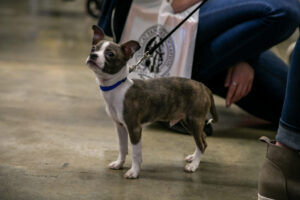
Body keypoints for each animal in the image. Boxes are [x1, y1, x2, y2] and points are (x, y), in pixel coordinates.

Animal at [85, 25, 217, 179]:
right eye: (93, 48)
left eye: (110, 54)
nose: (93, 55)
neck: (117, 87)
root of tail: (204, 87)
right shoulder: (120, 126)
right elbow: (122, 148)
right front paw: (119, 164)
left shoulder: (134, 128)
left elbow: (136, 153)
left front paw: (134, 172)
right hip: (188, 121)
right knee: (203, 139)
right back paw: (193, 157)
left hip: (194, 120)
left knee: (201, 143)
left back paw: (193, 166)